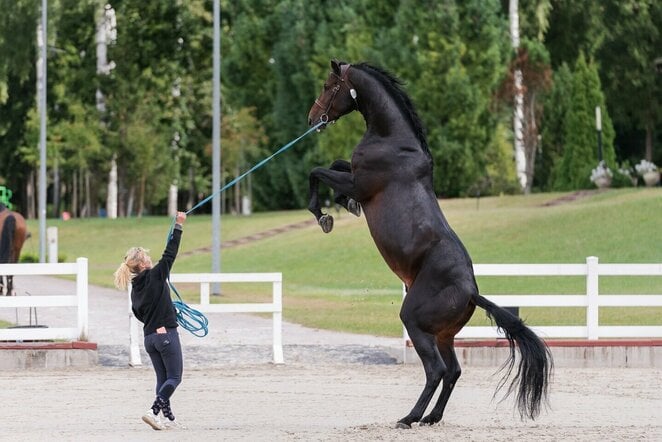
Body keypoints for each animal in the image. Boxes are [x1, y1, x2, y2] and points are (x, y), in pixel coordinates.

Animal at [308, 61, 552, 428]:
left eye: (328, 86)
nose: (313, 119)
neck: (393, 140)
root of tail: (471, 293)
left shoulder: (359, 182)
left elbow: (317, 171)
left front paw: (323, 215)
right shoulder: (352, 176)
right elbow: (335, 165)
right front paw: (343, 206)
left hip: (416, 322)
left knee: (436, 370)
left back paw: (409, 417)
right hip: (443, 334)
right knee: (453, 371)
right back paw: (431, 417)